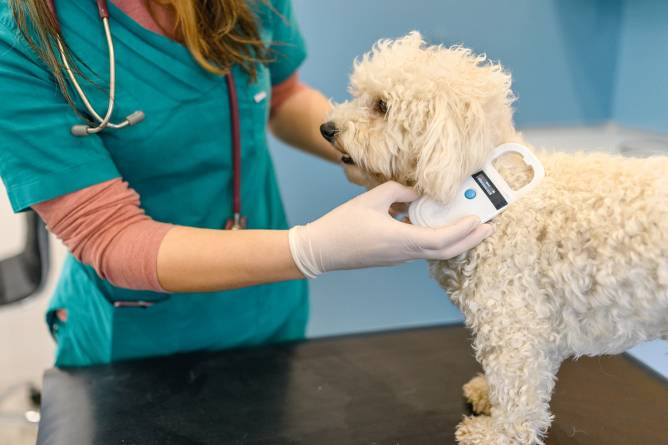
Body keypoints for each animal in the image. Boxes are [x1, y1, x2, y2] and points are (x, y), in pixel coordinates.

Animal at [324, 32, 668, 444]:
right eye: (358, 95)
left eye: (382, 106)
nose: (326, 128)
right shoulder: (538, 322)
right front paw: (487, 393)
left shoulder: (513, 320)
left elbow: (517, 388)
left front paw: (498, 434)